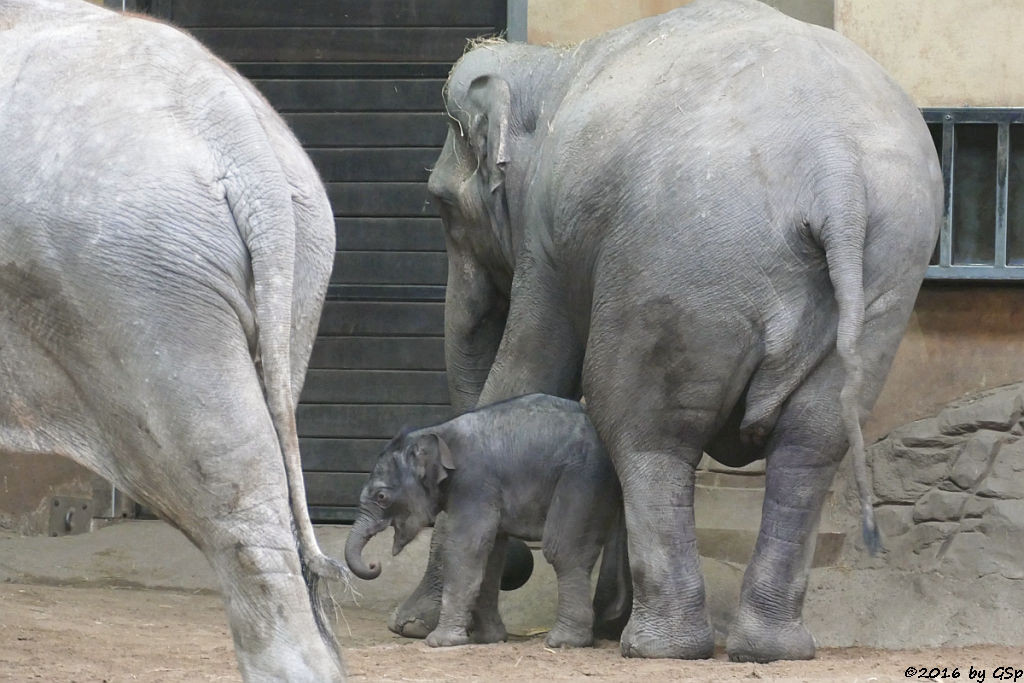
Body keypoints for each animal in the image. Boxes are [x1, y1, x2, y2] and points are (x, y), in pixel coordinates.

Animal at [348, 393, 626, 651]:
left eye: (381, 497)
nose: (374, 564)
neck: (438, 432)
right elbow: (490, 554)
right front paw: (488, 639)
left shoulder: (473, 483)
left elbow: (464, 547)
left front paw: (440, 642)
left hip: (583, 475)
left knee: (563, 550)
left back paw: (564, 642)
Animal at [389, 0, 942, 663]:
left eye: (441, 205)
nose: (518, 566)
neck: (554, 65)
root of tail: (835, 170)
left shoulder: (550, 240)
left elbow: (529, 369)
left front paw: (413, 626)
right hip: (886, 273)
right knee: (813, 441)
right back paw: (767, 648)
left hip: (680, 263)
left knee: (642, 426)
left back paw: (658, 646)